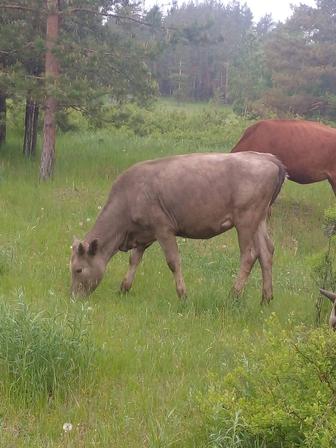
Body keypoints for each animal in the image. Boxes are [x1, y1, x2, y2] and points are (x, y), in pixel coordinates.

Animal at [71, 152, 286, 302]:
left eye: (78, 270)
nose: (73, 297)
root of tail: (269, 158)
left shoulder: (163, 228)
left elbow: (173, 261)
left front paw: (183, 295)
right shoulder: (143, 234)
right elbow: (134, 260)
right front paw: (124, 288)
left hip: (246, 219)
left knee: (249, 255)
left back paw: (233, 295)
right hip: (259, 219)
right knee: (266, 252)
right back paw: (266, 298)